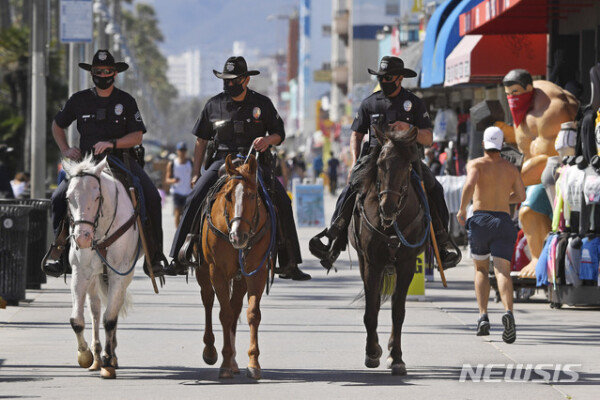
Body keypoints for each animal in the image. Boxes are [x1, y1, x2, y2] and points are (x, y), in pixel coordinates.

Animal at [62, 155, 141, 380]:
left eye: (97, 197)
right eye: (68, 198)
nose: (82, 238)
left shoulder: (119, 274)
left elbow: (110, 320)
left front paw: (108, 362)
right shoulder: (80, 273)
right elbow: (77, 320)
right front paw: (85, 355)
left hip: (123, 277)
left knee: (111, 310)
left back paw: (109, 356)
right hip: (94, 278)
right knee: (96, 310)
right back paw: (96, 357)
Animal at [196, 155, 274, 380]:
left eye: (252, 195)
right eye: (229, 196)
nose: (238, 236)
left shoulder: (256, 272)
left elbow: (252, 314)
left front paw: (253, 362)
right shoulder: (217, 272)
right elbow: (225, 314)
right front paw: (224, 363)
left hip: (240, 279)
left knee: (236, 305)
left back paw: (233, 361)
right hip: (203, 272)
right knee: (208, 301)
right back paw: (211, 351)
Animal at [350, 125, 428, 376]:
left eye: (407, 165)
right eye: (380, 163)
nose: (388, 207)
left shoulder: (406, 264)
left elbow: (398, 311)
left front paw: (396, 357)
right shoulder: (372, 263)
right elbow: (371, 310)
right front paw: (372, 352)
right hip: (364, 262)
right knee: (373, 303)